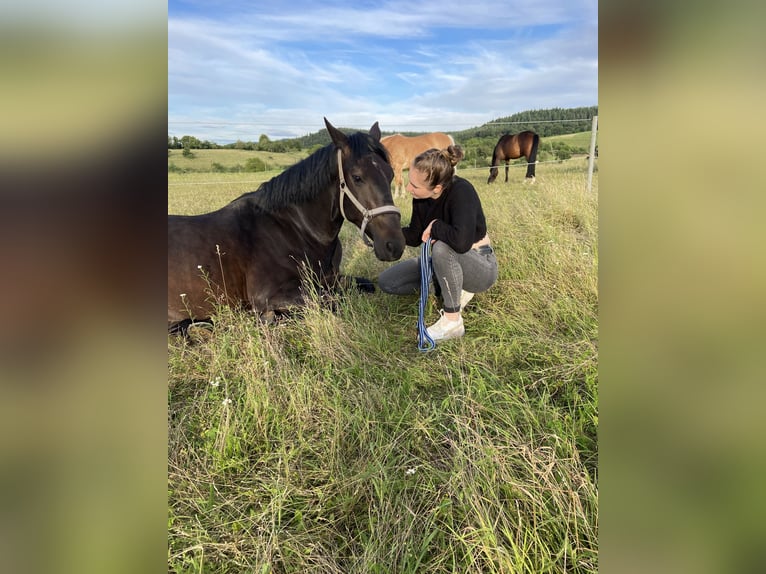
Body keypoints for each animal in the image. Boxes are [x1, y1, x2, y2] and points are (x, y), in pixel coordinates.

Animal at [170, 118, 408, 332]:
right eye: (357, 177)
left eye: (391, 175)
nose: (394, 245)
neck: (297, 229)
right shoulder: (270, 295)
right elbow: (329, 301)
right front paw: (269, 319)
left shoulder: (333, 280)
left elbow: (363, 286)